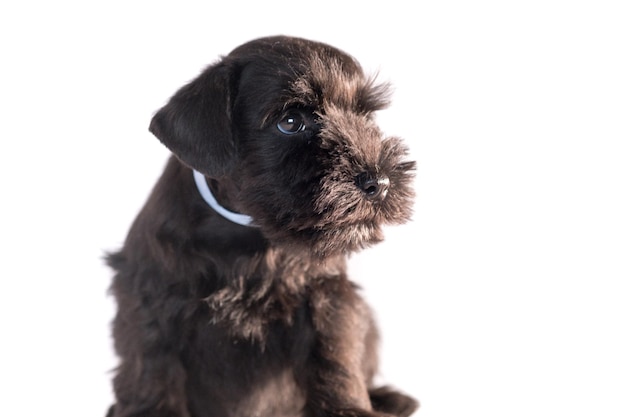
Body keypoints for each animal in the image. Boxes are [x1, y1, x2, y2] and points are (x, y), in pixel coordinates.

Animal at [106, 35, 420, 416]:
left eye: (366, 115)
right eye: (290, 121)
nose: (380, 182)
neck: (252, 235)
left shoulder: (326, 296)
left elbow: (335, 357)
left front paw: (346, 408)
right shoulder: (150, 300)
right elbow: (151, 368)